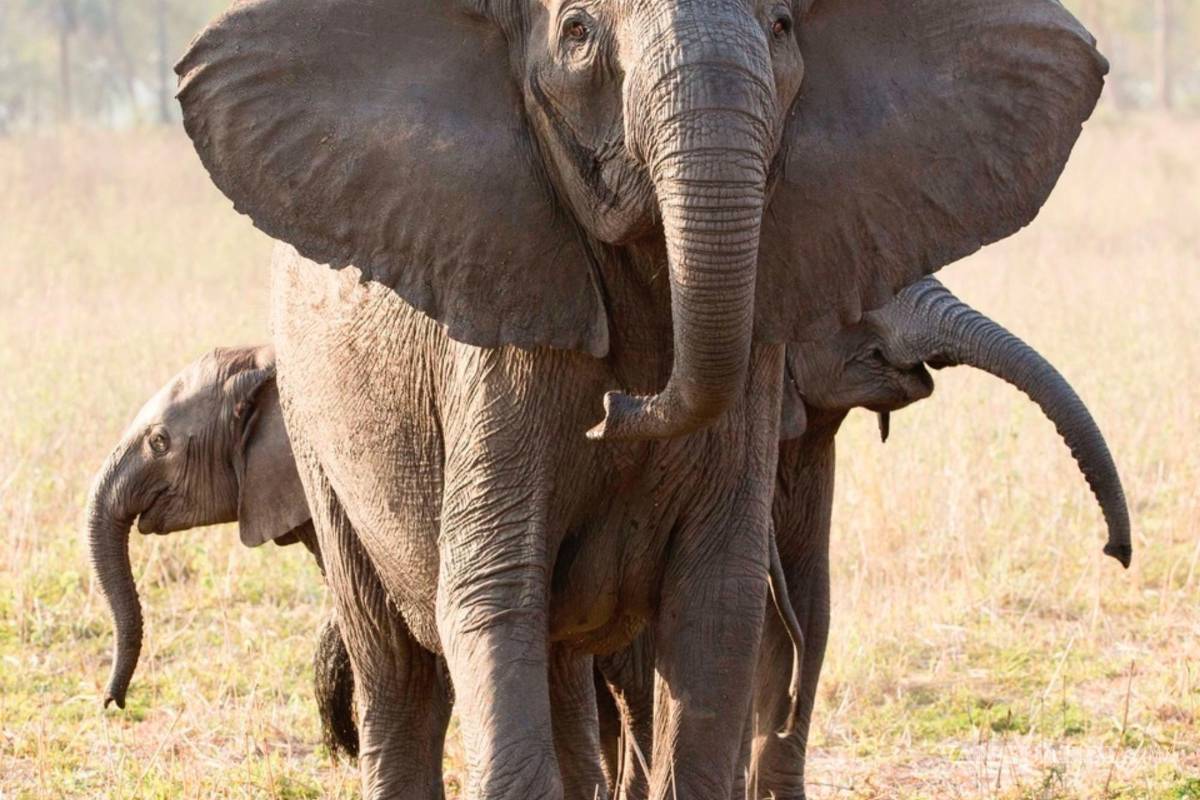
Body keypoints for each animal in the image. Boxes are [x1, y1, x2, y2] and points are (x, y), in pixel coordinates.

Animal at [159, 0, 1110, 797]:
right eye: (578, 31)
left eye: (781, 25)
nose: (619, 410)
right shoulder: (494, 354)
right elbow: (490, 593)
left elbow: (723, 610)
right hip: (316, 433)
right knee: (399, 677)